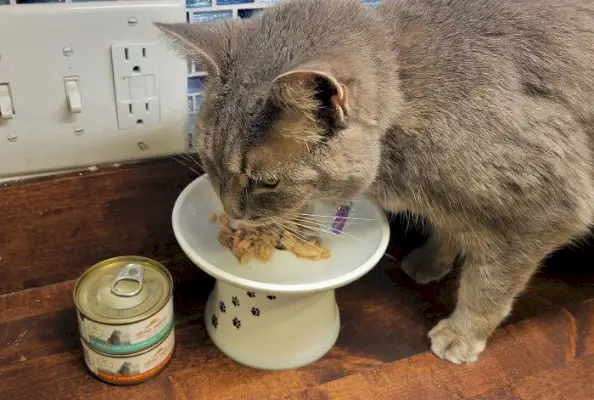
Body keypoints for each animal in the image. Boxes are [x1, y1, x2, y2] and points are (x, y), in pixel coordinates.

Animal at [155, 0, 588, 364]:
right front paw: (431, 260)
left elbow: (488, 285)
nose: (231, 211)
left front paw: (461, 334)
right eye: (209, 162)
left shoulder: (540, 211)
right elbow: (450, 230)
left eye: (266, 183)